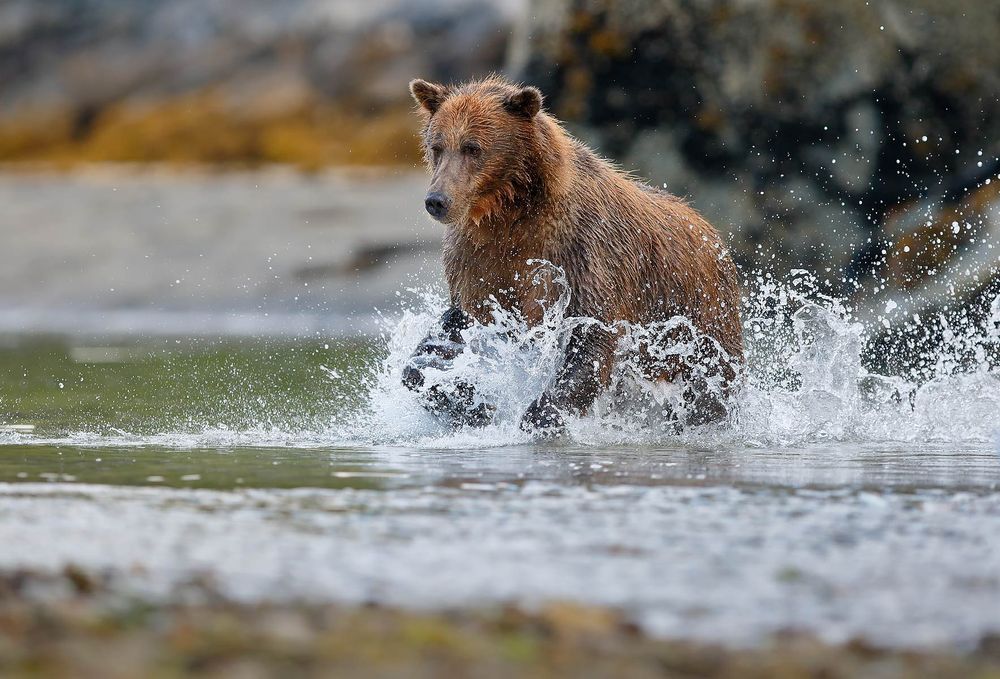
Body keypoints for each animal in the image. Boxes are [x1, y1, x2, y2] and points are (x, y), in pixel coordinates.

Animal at [402, 75, 744, 433]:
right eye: (437, 146)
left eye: (473, 147)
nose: (437, 200)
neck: (511, 214)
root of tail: (711, 231)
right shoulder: (479, 262)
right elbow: (454, 332)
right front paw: (472, 402)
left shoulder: (580, 252)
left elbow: (594, 334)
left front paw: (539, 414)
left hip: (698, 313)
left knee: (711, 379)